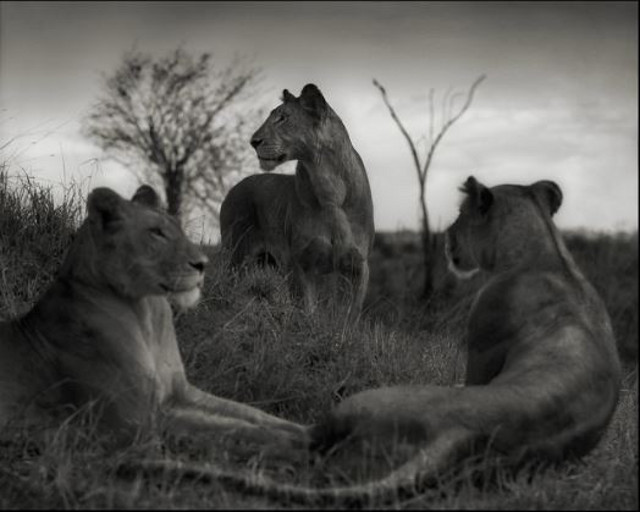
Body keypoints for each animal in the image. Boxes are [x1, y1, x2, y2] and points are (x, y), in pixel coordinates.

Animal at [0, 185, 309, 455]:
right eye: (156, 233)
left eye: (178, 229)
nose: (203, 264)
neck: (148, 314)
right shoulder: (135, 425)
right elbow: (227, 430)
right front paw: (304, 444)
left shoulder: (181, 394)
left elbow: (249, 413)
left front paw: (303, 429)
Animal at [141, 176, 621, 504]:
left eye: (460, 216)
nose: (446, 237)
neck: (549, 255)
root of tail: (458, 434)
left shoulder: (481, 343)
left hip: (356, 407)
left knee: (292, 437)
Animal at [220, 84, 375, 321]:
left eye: (282, 118)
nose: (253, 142)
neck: (329, 188)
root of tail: (234, 188)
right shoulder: (301, 263)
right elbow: (306, 309)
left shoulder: (358, 266)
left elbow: (350, 315)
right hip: (237, 256)